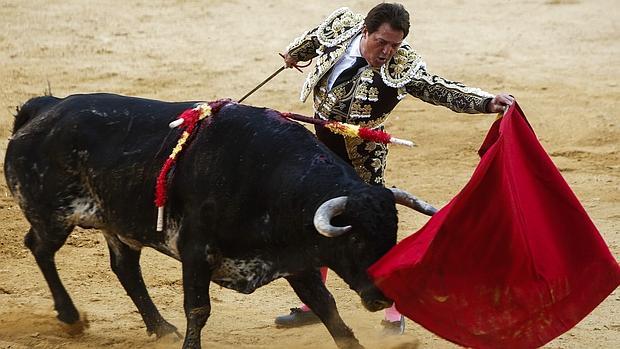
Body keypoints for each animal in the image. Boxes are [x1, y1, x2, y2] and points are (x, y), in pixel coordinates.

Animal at [2, 93, 436, 348]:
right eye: (356, 240)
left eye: (392, 237)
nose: (382, 297)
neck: (268, 179)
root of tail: (43, 108)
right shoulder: (196, 252)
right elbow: (198, 310)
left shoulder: (298, 261)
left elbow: (328, 309)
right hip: (52, 215)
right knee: (39, 247)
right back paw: (71, 317)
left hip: (116, 223)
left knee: (124, 267)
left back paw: (160, 327)